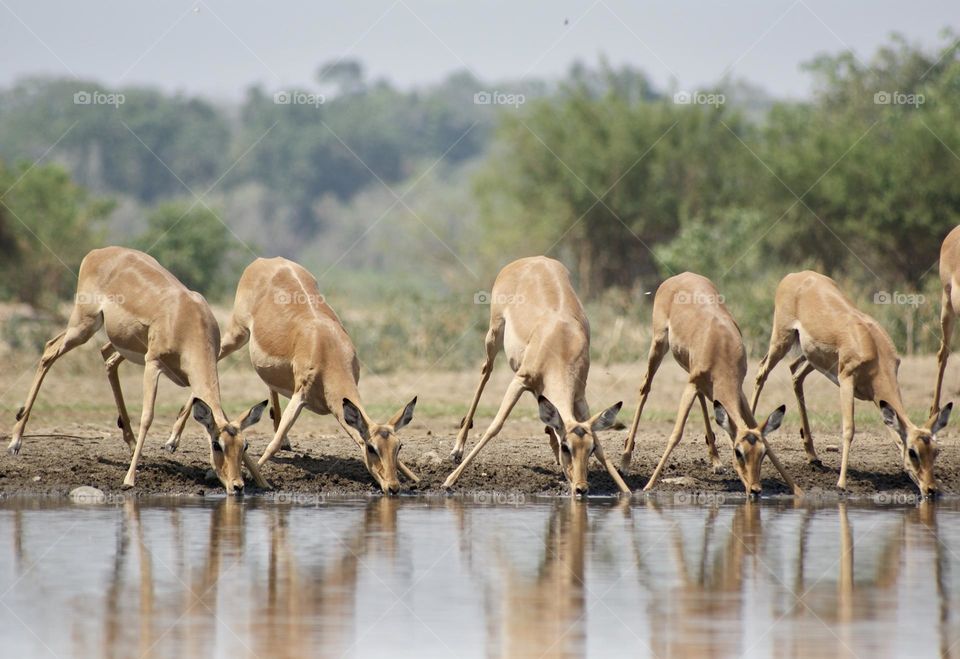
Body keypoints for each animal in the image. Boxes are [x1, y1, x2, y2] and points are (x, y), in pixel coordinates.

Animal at [7, 247, 268, 494]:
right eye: (216, 445)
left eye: (244, 445)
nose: (236, 485)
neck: (186, 320)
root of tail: (96, 253)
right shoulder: (153, 364)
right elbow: (147, 416)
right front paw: (129, 479)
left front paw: (263, 481)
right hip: (83, 326)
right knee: (50, 350)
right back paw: (15, 442)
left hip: (116, 341)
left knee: (105, 357)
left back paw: (131, 444)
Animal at [164, 257, 420, 494]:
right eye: (372, 448)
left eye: (398, 446)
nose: (393, 487)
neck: (327, 347)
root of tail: (264, 261)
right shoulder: (300, 395)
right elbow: (273, 444)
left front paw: (414, 478)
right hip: (236, 334)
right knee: (211, 366)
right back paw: (172, 441)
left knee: (268, 386)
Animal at [443, 256, 629, 496]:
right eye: (567, 447)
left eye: (589, 449)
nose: (581, 488)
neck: (561, 342)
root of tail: (533, 259)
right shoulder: (519, 380)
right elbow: (495, 426)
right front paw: (450, 480)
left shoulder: (579, 395)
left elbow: (598, 441)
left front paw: (627, 490)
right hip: (493, 335)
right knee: (486, 372)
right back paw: (456, 451)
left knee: (545, 406)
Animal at [621, 272, 801, 495]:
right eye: (738, 452)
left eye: (762, 453)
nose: (755, 489)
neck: (721, 346)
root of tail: (679, 276)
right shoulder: (691, 384)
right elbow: (676, 433)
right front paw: (648, 486)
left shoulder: (737, 390)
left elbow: (756, 429)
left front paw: (797, 490)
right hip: (659, 346)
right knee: (645, 388)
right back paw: (625, 461)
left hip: (692, 373)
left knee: (704, 400)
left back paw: (716, 461)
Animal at [750, 271, 952, 495]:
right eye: (913, 452)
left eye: (936, 451)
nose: (930, 488)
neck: (875, 350)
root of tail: (795, 275)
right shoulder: (847, 379)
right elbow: (849, 429)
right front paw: (841, 483)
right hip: (782, 339)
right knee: (761, 372)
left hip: (813, 359)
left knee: (795, 373)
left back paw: (813, 456)